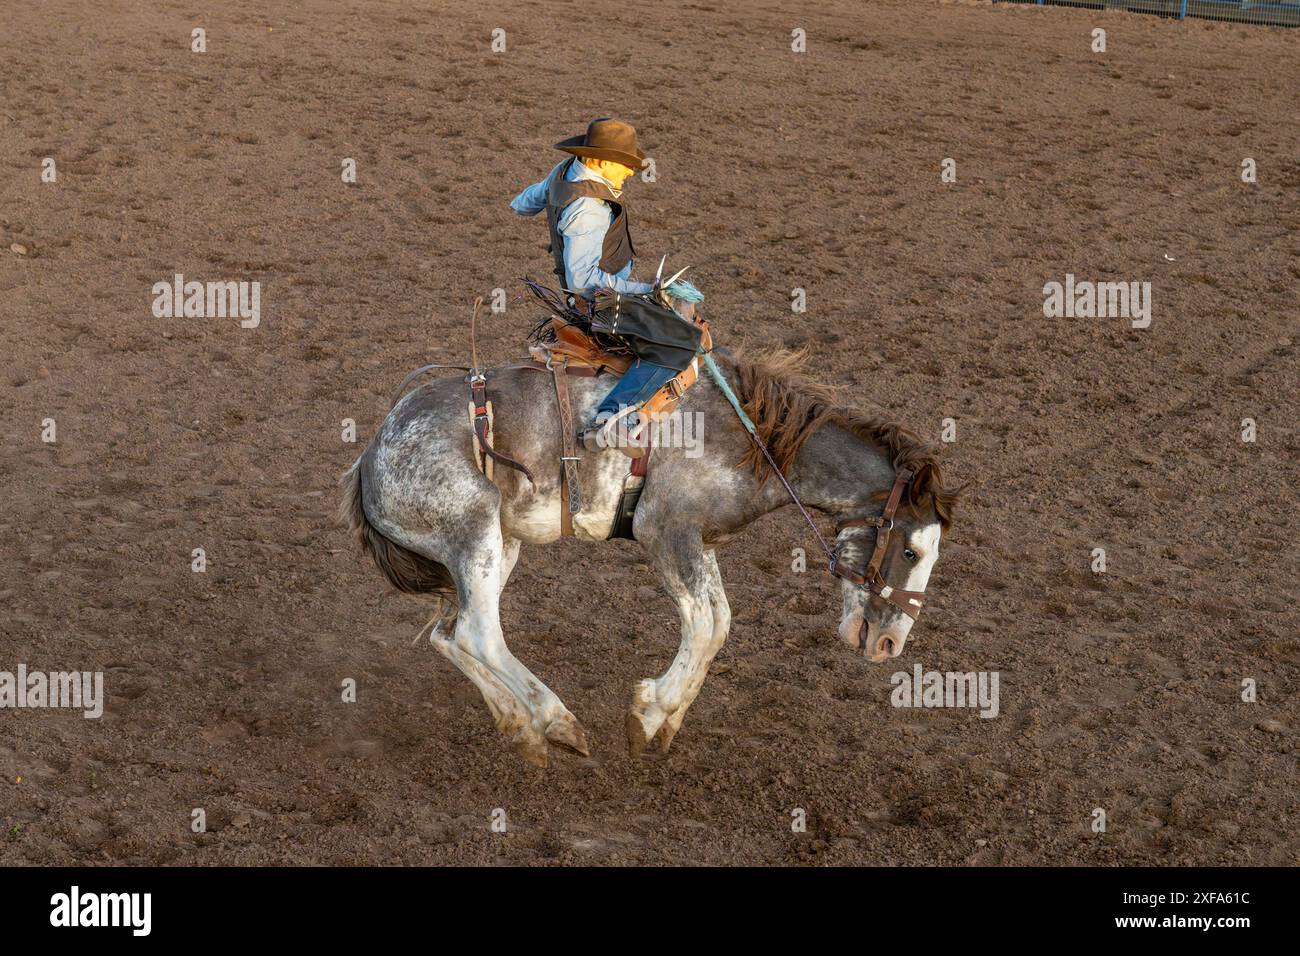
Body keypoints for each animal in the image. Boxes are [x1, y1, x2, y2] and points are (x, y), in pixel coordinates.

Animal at [340, 353, 961, 770]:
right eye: (911, 550)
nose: (890, 645)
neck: (749, 441)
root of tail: (370, 457)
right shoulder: (665, 532)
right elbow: (704, 625)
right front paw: (648, 714)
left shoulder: (699, 543)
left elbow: (719, 625)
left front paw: (665, 721)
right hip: (475, 538)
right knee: (477, 633)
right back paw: (557, 722)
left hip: (494, 546)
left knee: (449, 634)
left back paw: (521, 730)